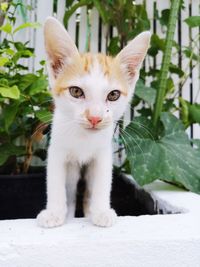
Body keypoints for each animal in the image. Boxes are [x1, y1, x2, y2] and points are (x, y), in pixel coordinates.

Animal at [37, 17, 150, 228]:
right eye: (75, 91)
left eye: (113, 95)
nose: (95, 117)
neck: (84, 138)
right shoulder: (57, 151)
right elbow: (56, 182)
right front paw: (54, 213)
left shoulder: (103, 154)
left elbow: (102, 183)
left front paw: (101, 211)